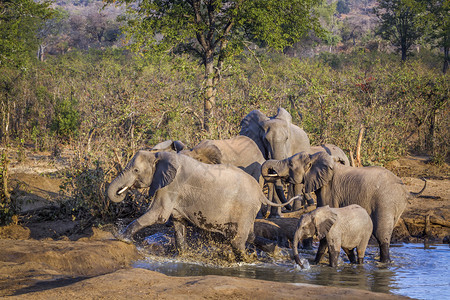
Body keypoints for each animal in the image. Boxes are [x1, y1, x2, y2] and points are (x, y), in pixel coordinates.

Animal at [107, 151, 294, 262]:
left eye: (136, 171)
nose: (123, 191)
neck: (158, 155)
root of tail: (260, 192)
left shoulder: (171, 185)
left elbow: (158, 214)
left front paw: (121, 237)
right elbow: (178, 222)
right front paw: (182, 255)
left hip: (245, 207)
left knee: (237, 239)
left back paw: (247, 259)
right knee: (249, 234)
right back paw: (274, 250)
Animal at [260, 151, 426, 262]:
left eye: (290, 164)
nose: (271, 171)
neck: (315, 157)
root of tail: (406, 190)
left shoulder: (329, 190)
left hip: (386, 201)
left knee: (381, 233)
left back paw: (383, 263)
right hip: (396, 205)